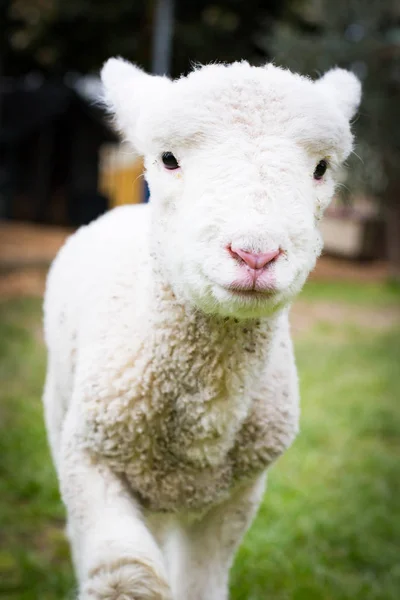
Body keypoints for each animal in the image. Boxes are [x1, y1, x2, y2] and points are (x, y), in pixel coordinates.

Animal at [42, 59, 360, 600]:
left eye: (321, 168)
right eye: (168, 158)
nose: (255, 255)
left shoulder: (237, 495)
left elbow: (199, 582)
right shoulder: (89, 460)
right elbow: (128, 576)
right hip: (58, 408)